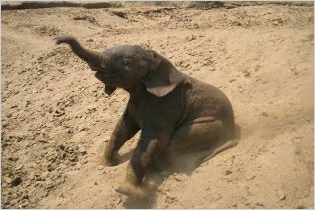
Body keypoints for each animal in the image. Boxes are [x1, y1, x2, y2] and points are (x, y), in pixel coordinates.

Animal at [55, 36, 237, 199]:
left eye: (126, 63)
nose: (57, 40)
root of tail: (234, 132)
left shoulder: (165, 104)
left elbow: (153, 141)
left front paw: (127, 191)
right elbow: (123, 128)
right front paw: (107, 163)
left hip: (211, 124)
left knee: (173, 143)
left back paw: (163, 168)